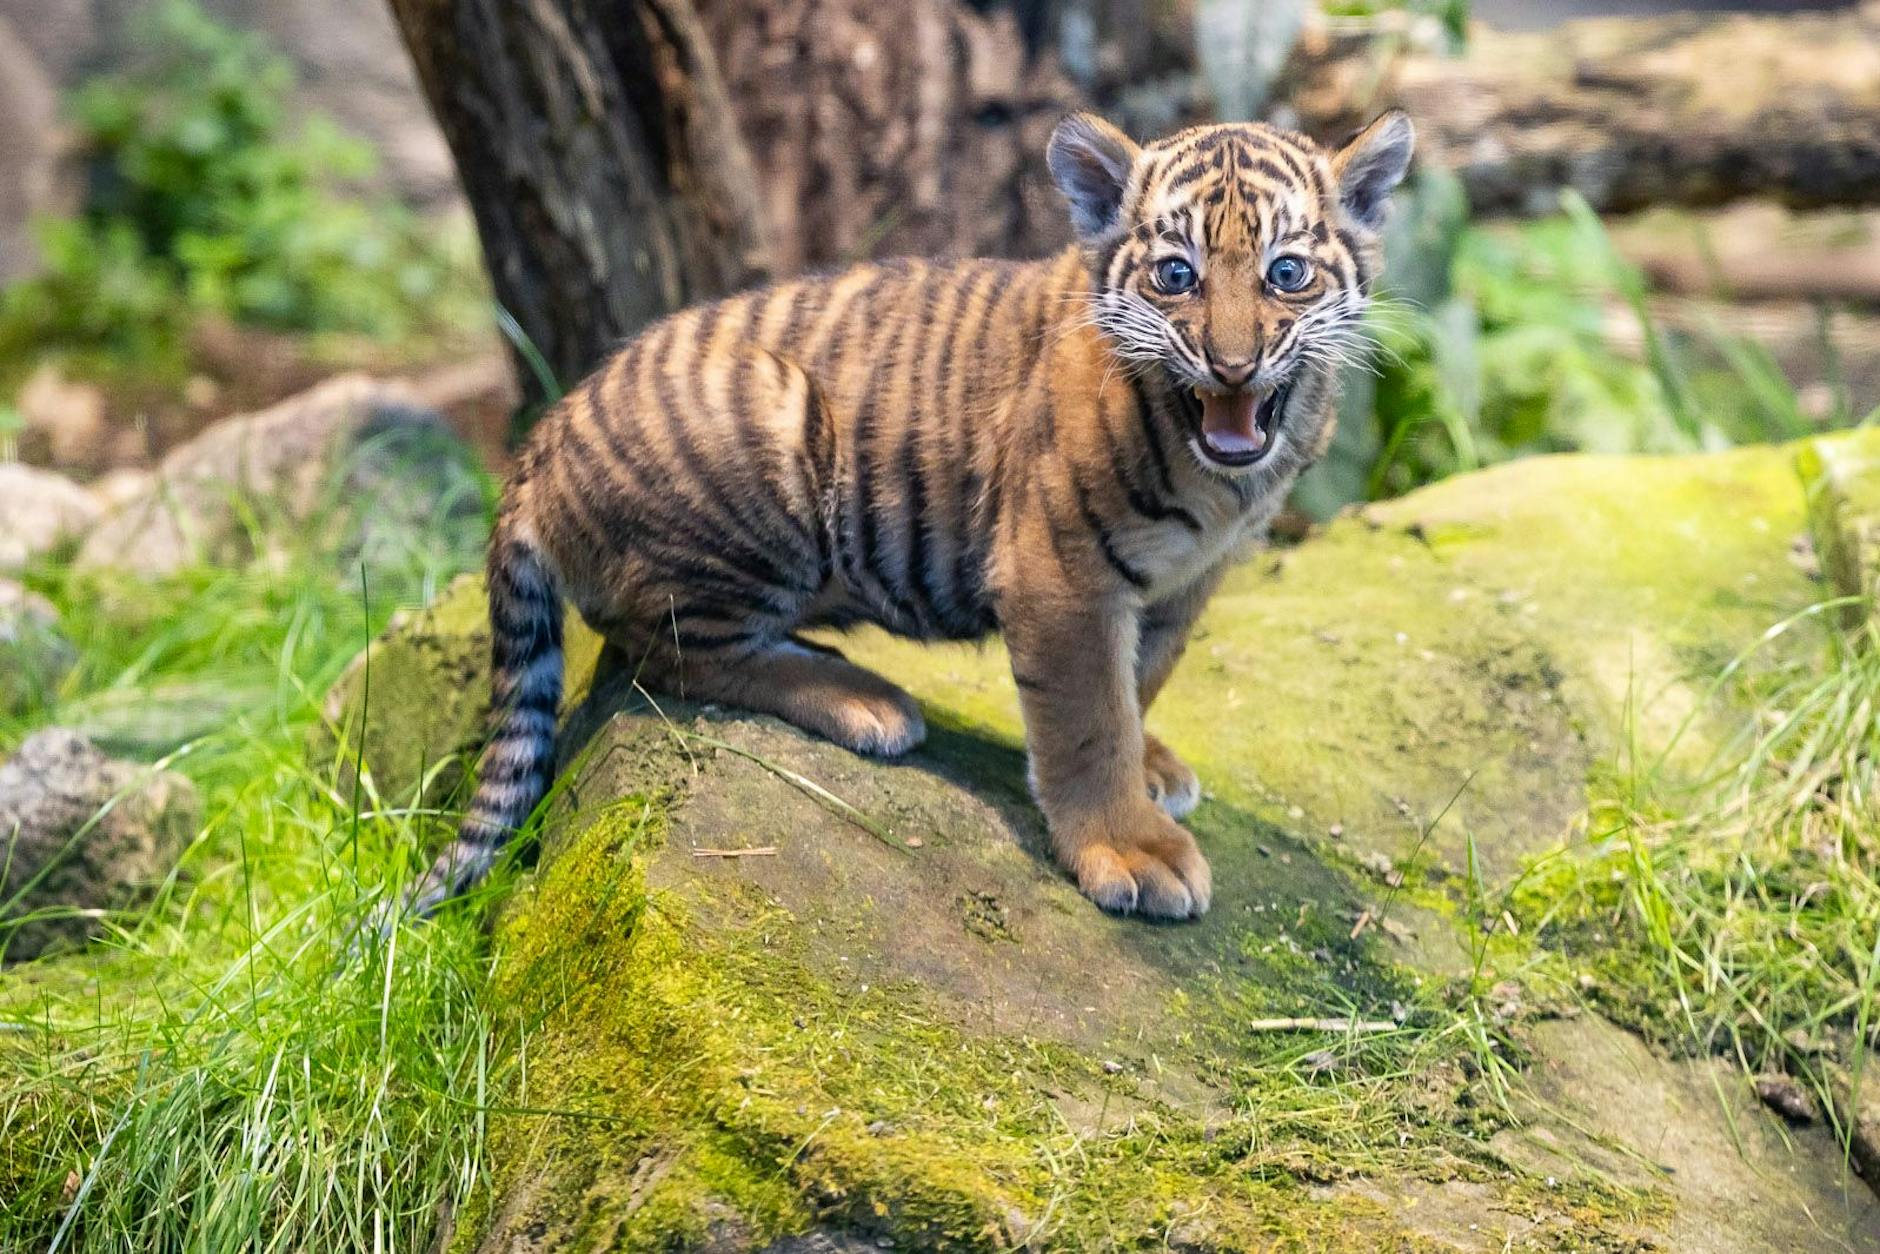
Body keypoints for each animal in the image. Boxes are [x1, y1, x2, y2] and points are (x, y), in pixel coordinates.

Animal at [405, 108, 1415, 921]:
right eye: (1176, 275)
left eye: (1287, 272)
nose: (1233, 366)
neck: (1226, 482)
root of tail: (539, 443)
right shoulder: (1060, 576)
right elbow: (1091, 719)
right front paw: (1129, 848)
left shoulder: (1184, 583)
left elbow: (1146, 678)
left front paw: (1152, 766)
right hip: (770, 438)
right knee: (660, 652)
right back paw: (865, 698)